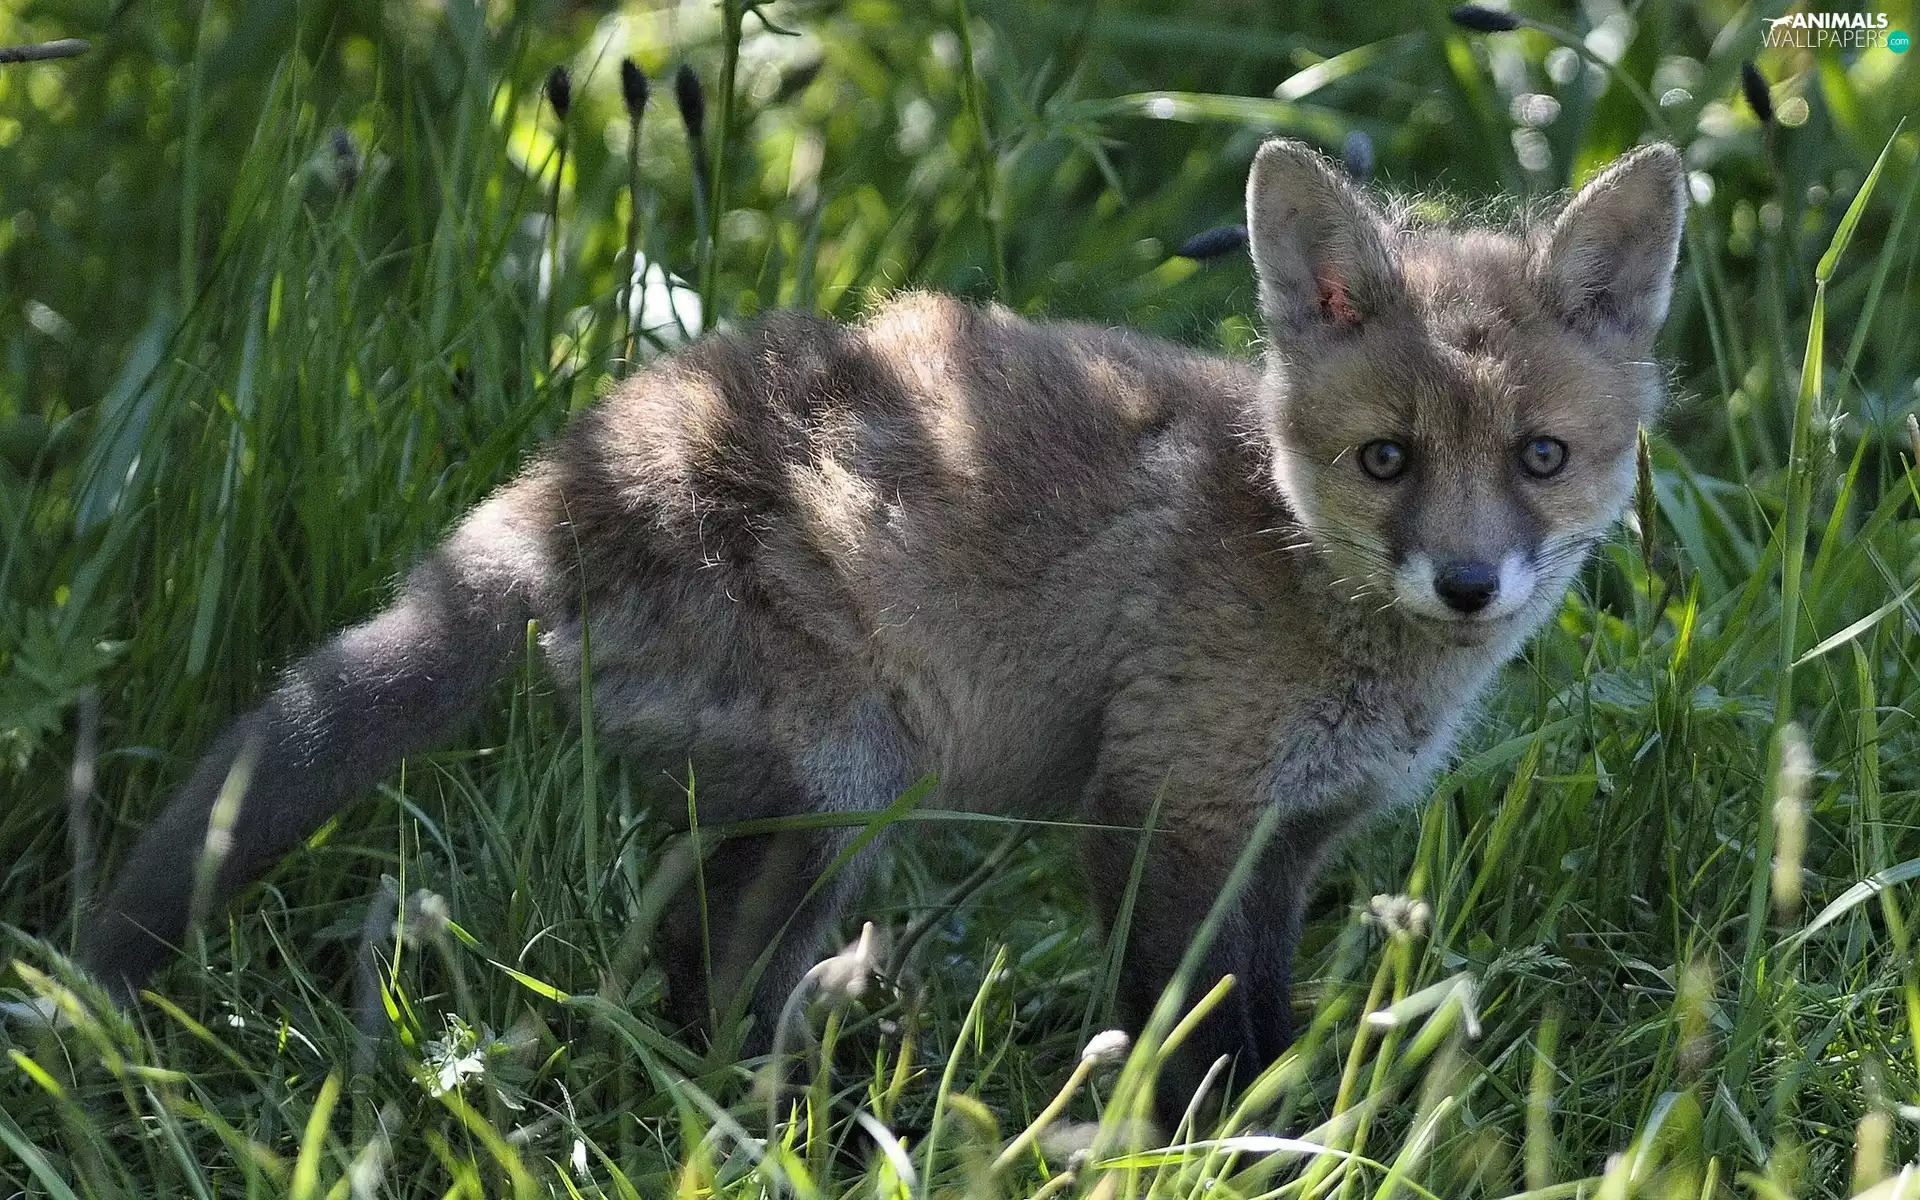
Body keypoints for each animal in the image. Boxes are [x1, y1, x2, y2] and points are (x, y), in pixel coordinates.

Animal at [77, 138, 1685, 1108]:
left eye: (1540, 457)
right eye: (1388, 459)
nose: (1468, 583)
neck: (1288, 556)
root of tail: (569, 480)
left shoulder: (1287, 845)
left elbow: (1263, 1019)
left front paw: (1279, 1134)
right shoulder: (1160, 809)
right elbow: (1190, 1033)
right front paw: (1207, 1146)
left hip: (788, 808)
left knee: (686, 966)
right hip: (854, 783)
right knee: (719, 986)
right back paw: (783, 1125)